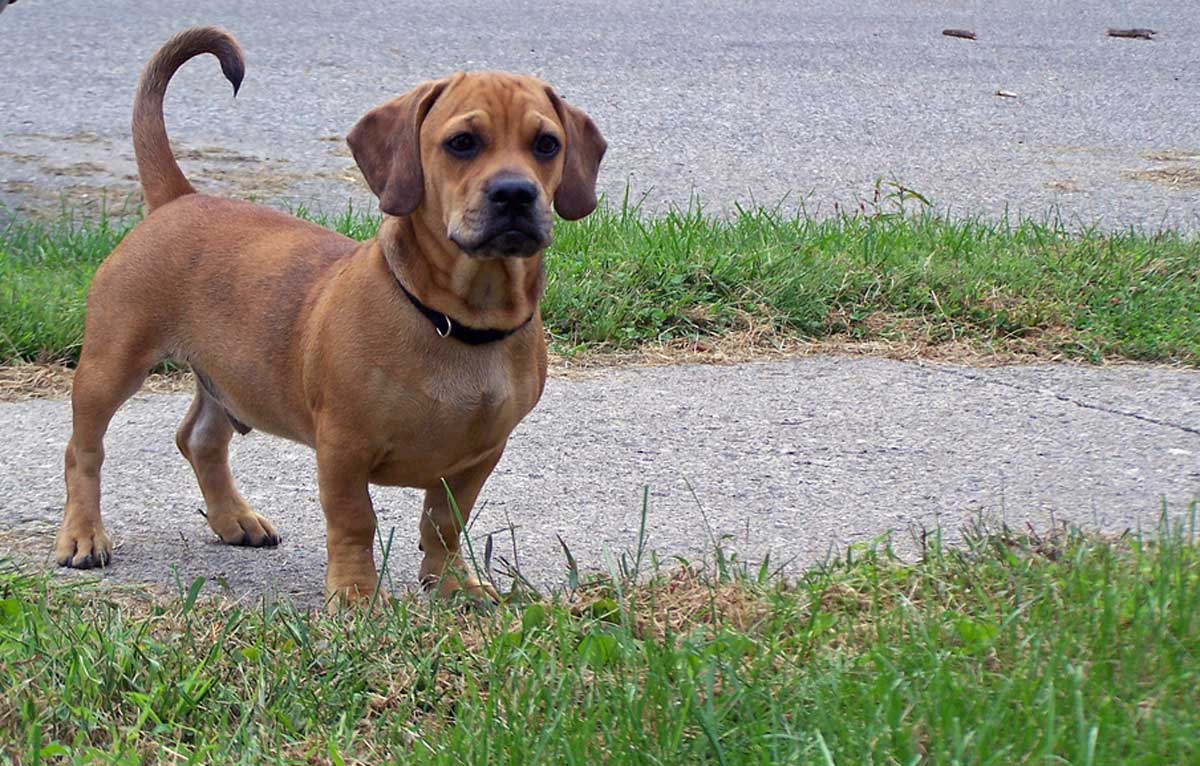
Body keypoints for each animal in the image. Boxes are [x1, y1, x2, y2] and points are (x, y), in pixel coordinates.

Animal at [51, 25, 604, 605]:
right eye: (462, 143)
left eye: (547, 144)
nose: (515, 193)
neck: (456, 321)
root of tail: (177, 198)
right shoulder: (343, 448)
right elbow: (355, 520)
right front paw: (355, 595)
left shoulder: (479, 457)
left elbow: (445, 521)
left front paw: (452, 584)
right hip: (111, 365)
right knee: (83, 450)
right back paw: (83, 534)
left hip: (231, 375)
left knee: (199, 440)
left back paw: (234, 519)